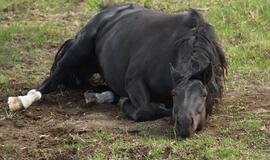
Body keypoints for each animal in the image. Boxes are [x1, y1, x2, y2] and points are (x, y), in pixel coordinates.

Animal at [7, 3, 226, 138]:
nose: (183, 124)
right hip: (77, 52)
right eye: (174, 93)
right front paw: (128, 104)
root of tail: (107, 12)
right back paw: (20, 101)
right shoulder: (134, 81)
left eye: (203, 94)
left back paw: (97, 96)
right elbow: (145, 109)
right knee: (48, 82)